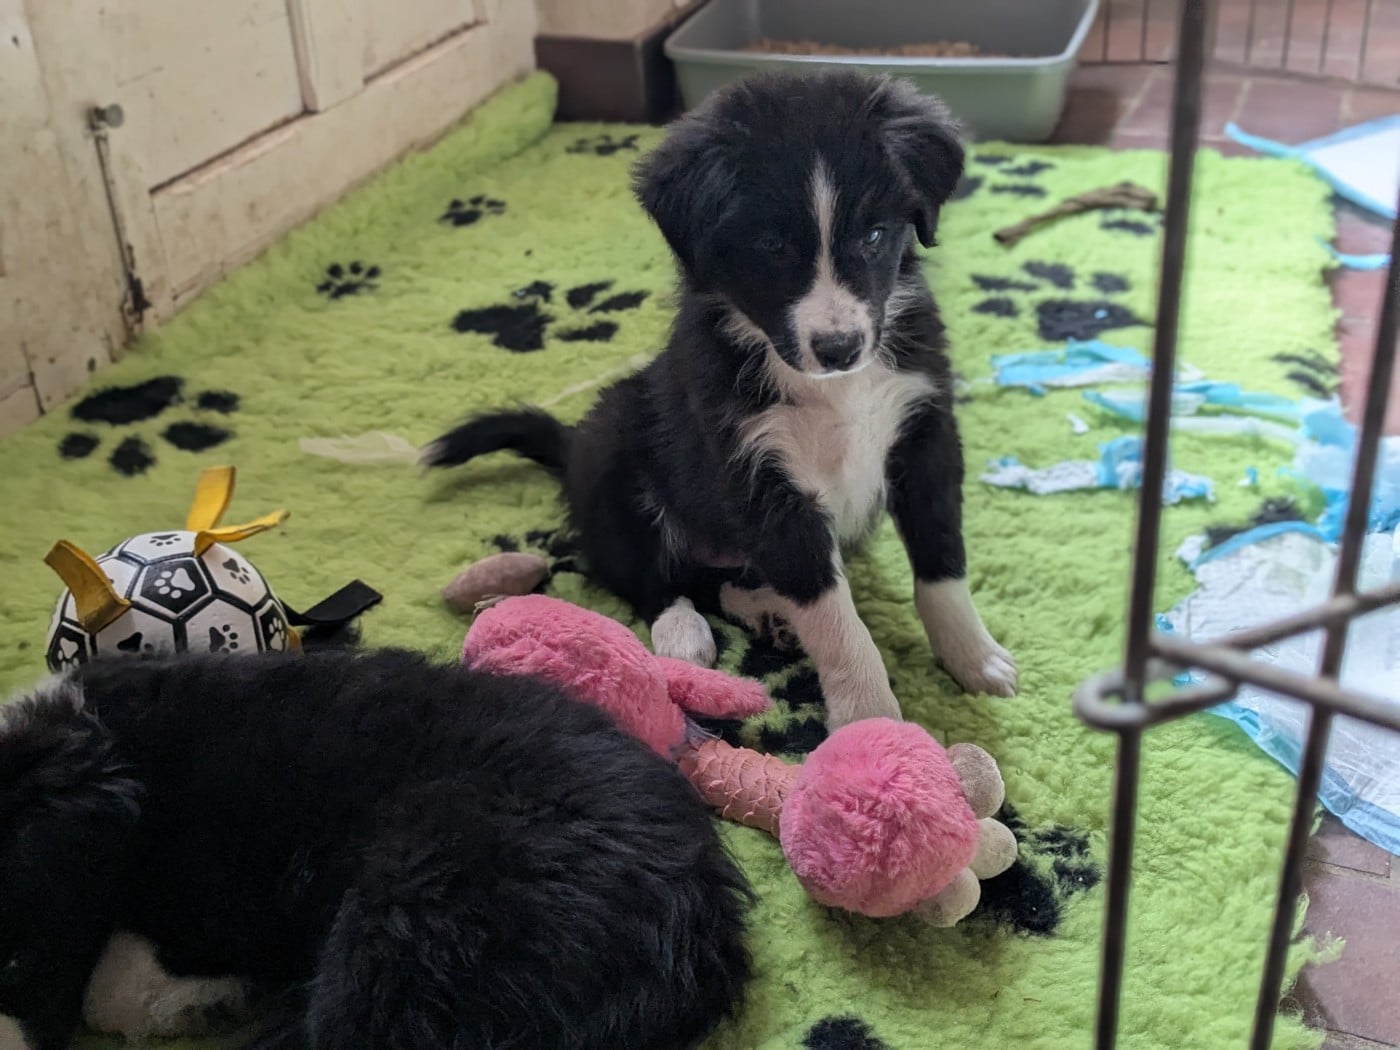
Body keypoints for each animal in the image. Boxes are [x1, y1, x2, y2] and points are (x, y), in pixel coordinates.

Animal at [423, 70, 1017, 729]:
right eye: (771, 245)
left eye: (874, 235)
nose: (839, 347)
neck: (833, 389)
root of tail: (572, 444)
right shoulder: (760, 477)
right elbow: (833, 613)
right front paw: (872, 719)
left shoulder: (924, 430)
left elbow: (942, 560)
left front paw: (974, 658)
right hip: (614, 444)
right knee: (646, 573)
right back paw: (683, 632)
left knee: (718, 580)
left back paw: (768, 613)